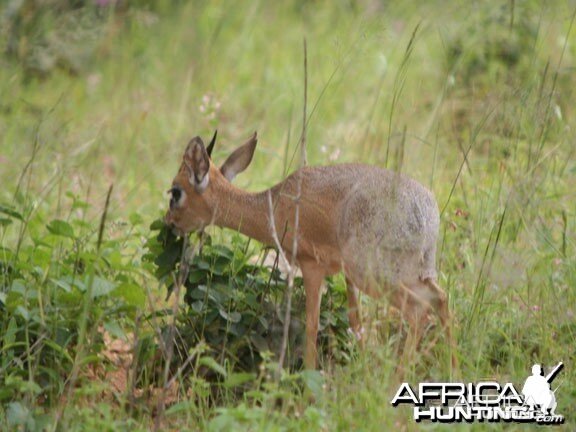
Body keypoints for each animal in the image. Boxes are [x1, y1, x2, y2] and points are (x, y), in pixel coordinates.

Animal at [164, 131, 452, 368]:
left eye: (175, 192)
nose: (169, 224)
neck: (276, 206)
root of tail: (426, 212)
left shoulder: (312, 265)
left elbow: (311, 326)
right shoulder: (345, 276)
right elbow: (355, 321)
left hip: (377, 276)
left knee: (418, 310)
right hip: (412, 274)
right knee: (440, 298)